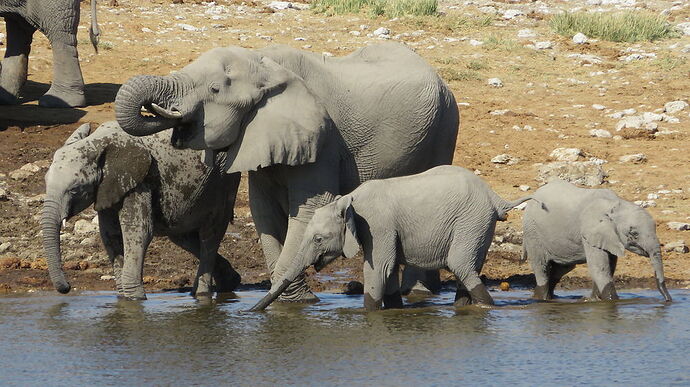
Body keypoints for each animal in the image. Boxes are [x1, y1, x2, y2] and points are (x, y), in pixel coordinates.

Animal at [42, 121, 242, 300]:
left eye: (75, 189)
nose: (68, 287)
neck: (97, 142)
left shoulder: (139, 182)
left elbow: (138, 231)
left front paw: (135, 299)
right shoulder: (108, 187)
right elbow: (110, 235)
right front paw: (123, 298)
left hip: (224, 180)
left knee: (210, 234)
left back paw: (202, 294)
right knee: (183, 237)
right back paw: (230, 283)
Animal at [114, 42, 456, 304]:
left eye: (214, 88)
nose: (165, 112)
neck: (263, 66)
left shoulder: (323, 140)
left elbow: (308, 209)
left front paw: (297, 302)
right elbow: (263, 210)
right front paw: (295, 300)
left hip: (444, 127)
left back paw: (419, 293)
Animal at [249, 166, 532, 312]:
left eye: (319, 239)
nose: (252, 312)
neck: (349, 200)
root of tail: (495, 197)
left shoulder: (378, 226)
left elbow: (379, 268)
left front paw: (370, 314)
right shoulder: (383, 231)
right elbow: (391, 268)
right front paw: (394, 309)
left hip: (471, 220)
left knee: (461, 264)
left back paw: (488, 308)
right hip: (478, 224)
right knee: (469, 267)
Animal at [520, 180, 668, 304]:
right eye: (634, 234)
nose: (667, 300)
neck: (614, 204)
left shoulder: (609, 237)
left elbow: (609, 266)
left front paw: (592, 300)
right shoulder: (589, 231)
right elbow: (599, 268)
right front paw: (611, 301)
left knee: (562, 269)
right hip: (532, 232)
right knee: (541, 267)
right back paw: (542, 299)